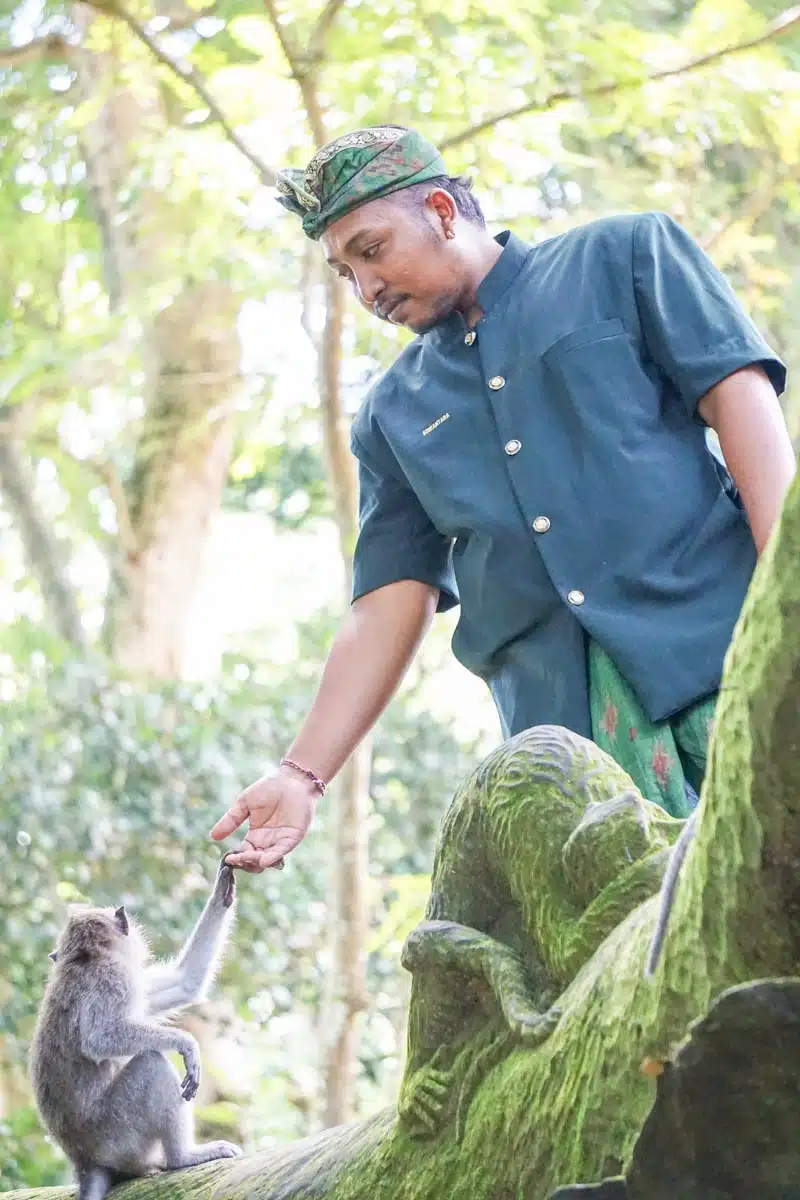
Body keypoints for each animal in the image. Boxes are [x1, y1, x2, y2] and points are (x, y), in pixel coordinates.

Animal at [29, 859, 242, 1195]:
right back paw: (182, 1157)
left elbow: (186, 982)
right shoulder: (114, 978)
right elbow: (99, 1038)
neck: (85, 958)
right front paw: (186, 1043)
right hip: (119, 1134)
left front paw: (223, 890)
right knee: (151, 1065)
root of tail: (84, 1162)